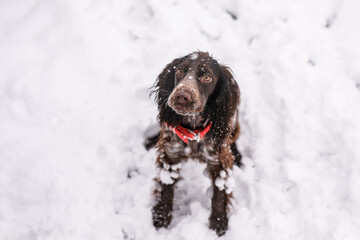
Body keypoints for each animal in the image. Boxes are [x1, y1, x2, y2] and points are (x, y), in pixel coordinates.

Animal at [148, 51, 243, 236]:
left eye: (206, 77)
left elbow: (219, 194)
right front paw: (161, 217)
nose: (181, 95)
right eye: (180, 71)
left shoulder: (220, 161)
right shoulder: (170, 154)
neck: (193, 130)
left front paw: (218, 225)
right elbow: (166, 186)